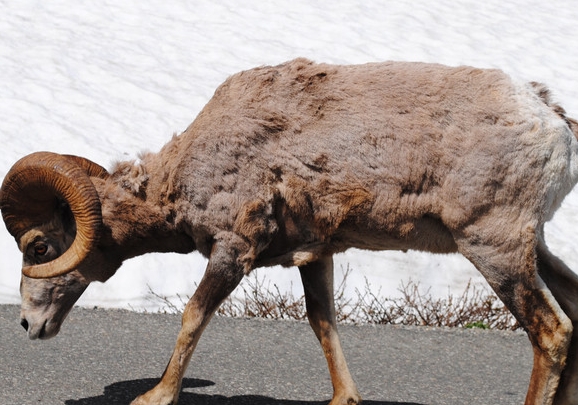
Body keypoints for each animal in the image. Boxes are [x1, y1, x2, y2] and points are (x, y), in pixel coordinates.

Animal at [1, 57, 576, 404]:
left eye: (39, 245)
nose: (29, 325)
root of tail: (552, 121)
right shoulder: (315, 254)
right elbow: (323, 324)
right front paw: (345, 398)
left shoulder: (233, 249)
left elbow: (192, 318)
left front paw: (156, 396)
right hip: (534, 249)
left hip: (494, 250)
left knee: (552, 332)